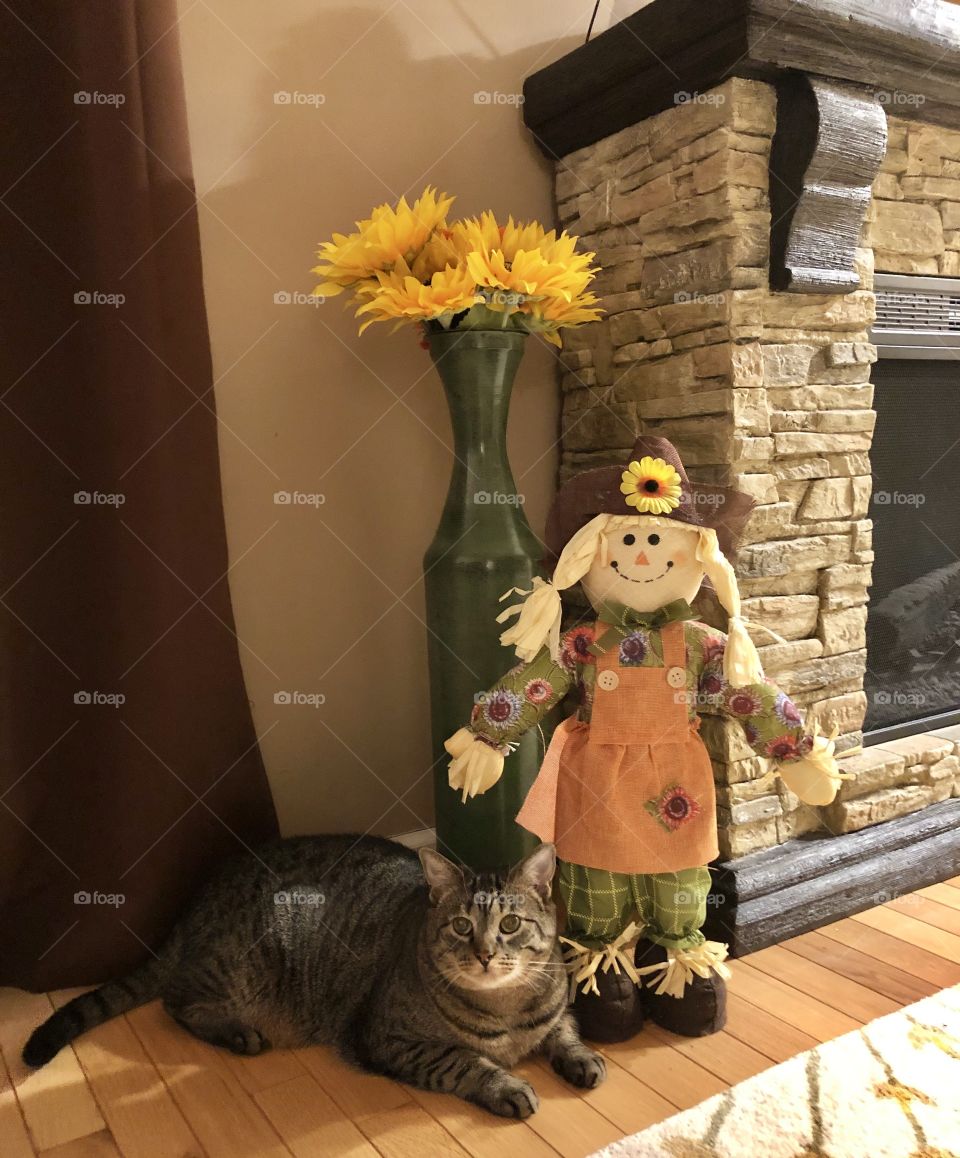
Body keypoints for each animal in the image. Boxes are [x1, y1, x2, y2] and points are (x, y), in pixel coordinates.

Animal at [22, 838, 602, 1116]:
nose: (483, 954)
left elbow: (565, 1030)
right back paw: (237, 1032)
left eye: (509, 924)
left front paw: (581, 1058)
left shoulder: (555, 1007)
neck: (508, 1010)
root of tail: (195, 900)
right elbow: (466, 1063)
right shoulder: (387, 1040)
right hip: (243, 967)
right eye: (461, 926)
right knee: (176, 1001)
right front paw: (507, 1084)